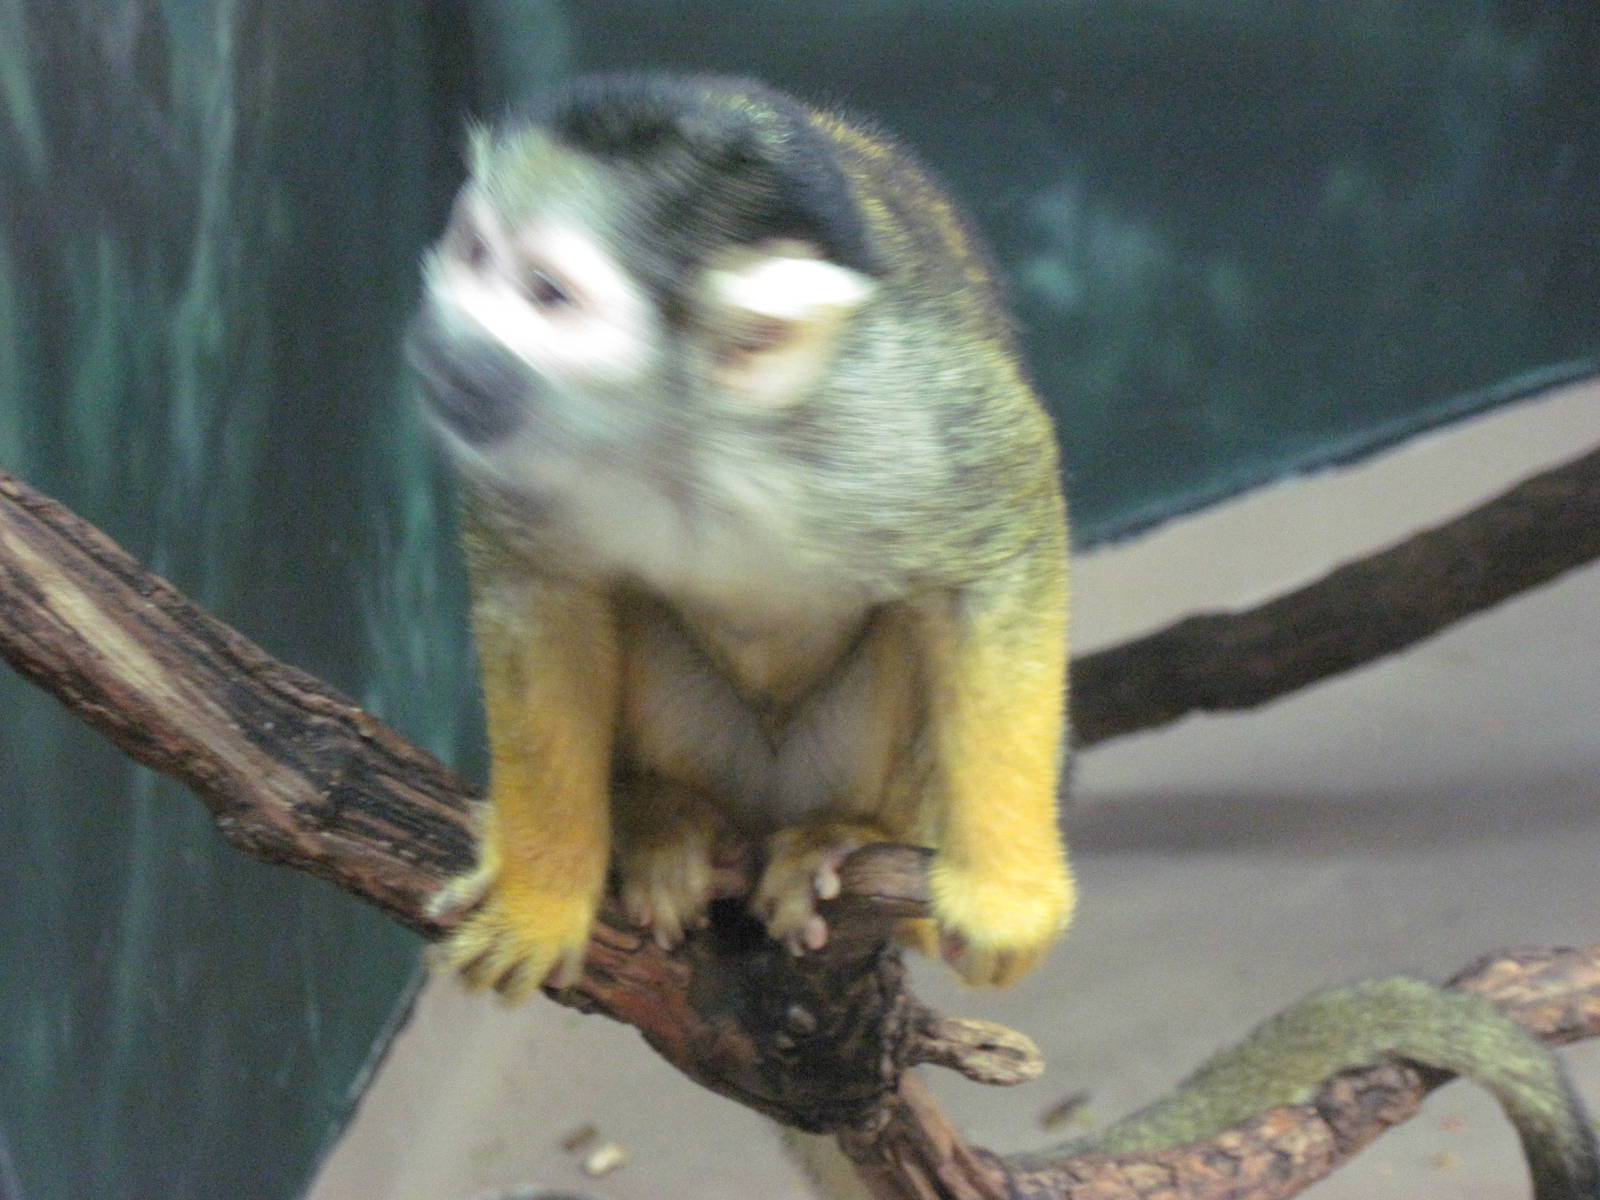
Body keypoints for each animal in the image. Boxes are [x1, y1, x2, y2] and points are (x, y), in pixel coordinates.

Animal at [408, 72, 1074, 998]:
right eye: (473, 252)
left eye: (546, 294)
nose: (445, 346)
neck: (682, 434)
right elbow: (542, 595)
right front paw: (540, 896)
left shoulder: (887, 409)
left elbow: (1002, 535)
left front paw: (1006, 896)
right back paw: (659, 814)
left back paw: (845, 834)